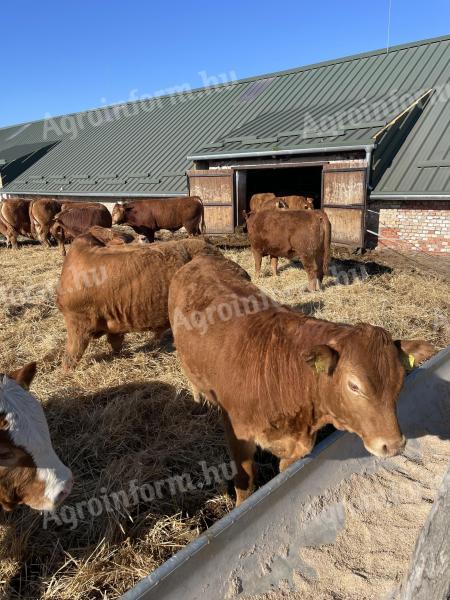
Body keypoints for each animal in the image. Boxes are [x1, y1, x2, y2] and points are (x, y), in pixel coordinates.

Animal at [167, 254, 434, 506]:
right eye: (354, 386)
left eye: (400, 380)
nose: (394, 445)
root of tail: (202, 258)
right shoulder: (238, 434)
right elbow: (246, 482)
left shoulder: (297, 446)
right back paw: (199, 400)